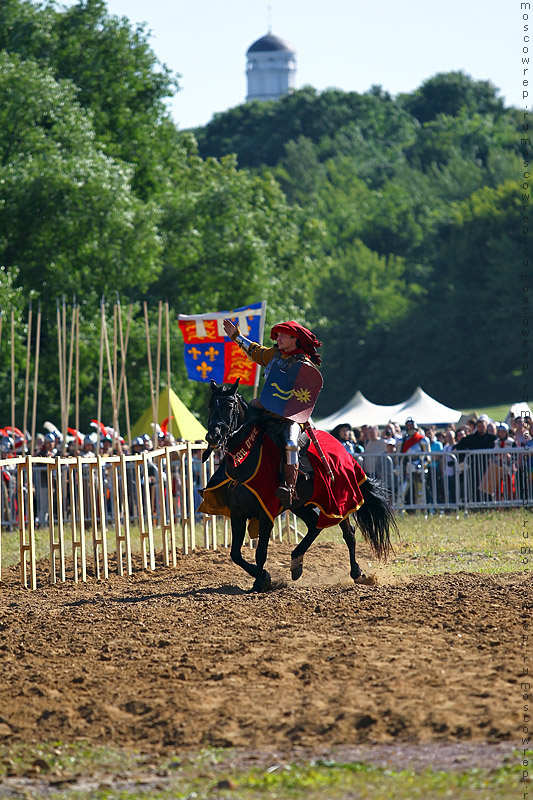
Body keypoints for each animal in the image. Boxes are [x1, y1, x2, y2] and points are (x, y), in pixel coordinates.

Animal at [198, 382, 394, 592]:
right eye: (210, 406)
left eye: (229, 406)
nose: (213, 436)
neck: (246, 459)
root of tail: (343, 448)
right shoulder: (237, 513)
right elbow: (235, 554)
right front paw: (262, 576)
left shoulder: (265, 513)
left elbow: (260, 552)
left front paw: (262, 580)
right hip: (299, 504)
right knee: (314, 526)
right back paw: (296, 562)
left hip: (339, 500)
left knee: (348, 533)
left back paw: (356, 573)